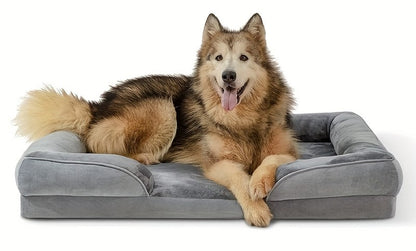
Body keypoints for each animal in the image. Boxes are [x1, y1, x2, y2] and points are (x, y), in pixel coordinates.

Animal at [13, 13, 300, 226]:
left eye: (243, 57)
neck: (241, 119)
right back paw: (145, 159)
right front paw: (256, 208)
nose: (228, 76)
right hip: (162, 107)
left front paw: (259, 182)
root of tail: (99, 105)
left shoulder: (290, 153)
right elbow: (240, 179)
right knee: (107, 149)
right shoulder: (217, 163)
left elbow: (271, 160)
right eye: (218, 58)